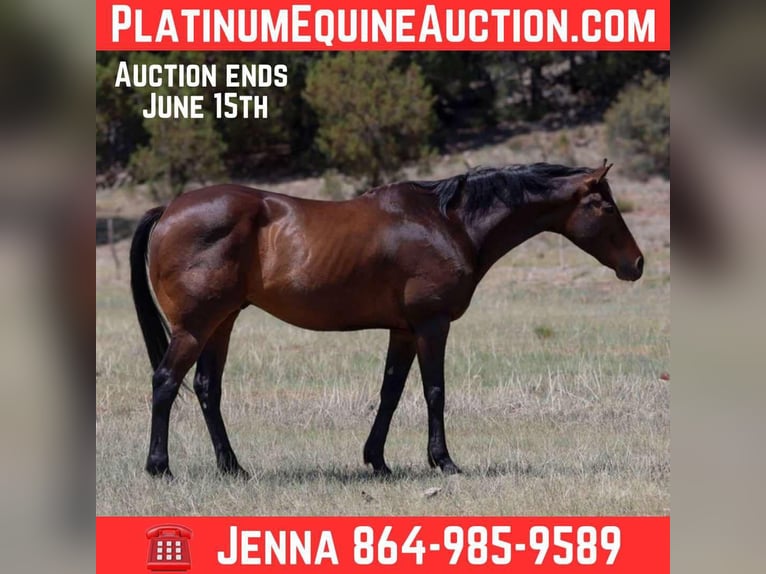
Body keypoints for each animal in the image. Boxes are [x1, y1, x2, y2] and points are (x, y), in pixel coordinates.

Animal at [129, 160, 643, 479]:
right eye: (606, 206)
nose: (636, 264)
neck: (447, 223)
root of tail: (169, 209)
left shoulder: (403, 331)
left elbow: (391, 392)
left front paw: (376, 460)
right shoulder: (433, 325)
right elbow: (434, 392)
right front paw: (444, 461)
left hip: (222, 323)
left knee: (206, 389)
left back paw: (232, 467)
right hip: (195, 328)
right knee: (165, 382)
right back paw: (160, 467)